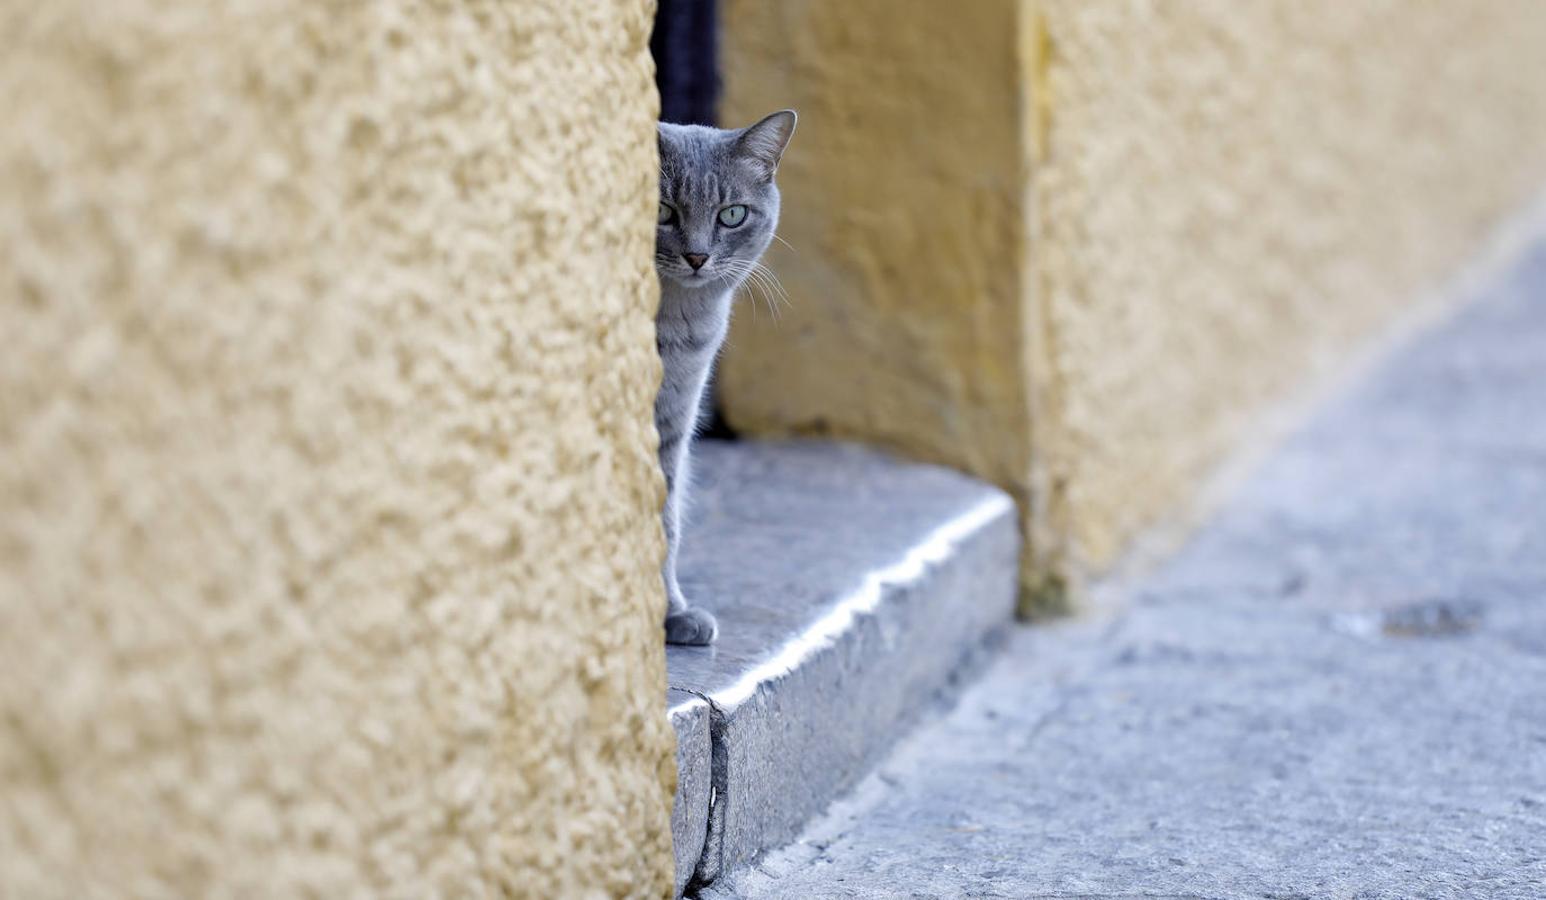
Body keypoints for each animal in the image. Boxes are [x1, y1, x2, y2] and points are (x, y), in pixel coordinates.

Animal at [652, 111, 797, 649]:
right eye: (663, 209)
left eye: (732, 215)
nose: (696, 257)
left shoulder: (673, 424)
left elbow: (666, 520)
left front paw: (670, 613)